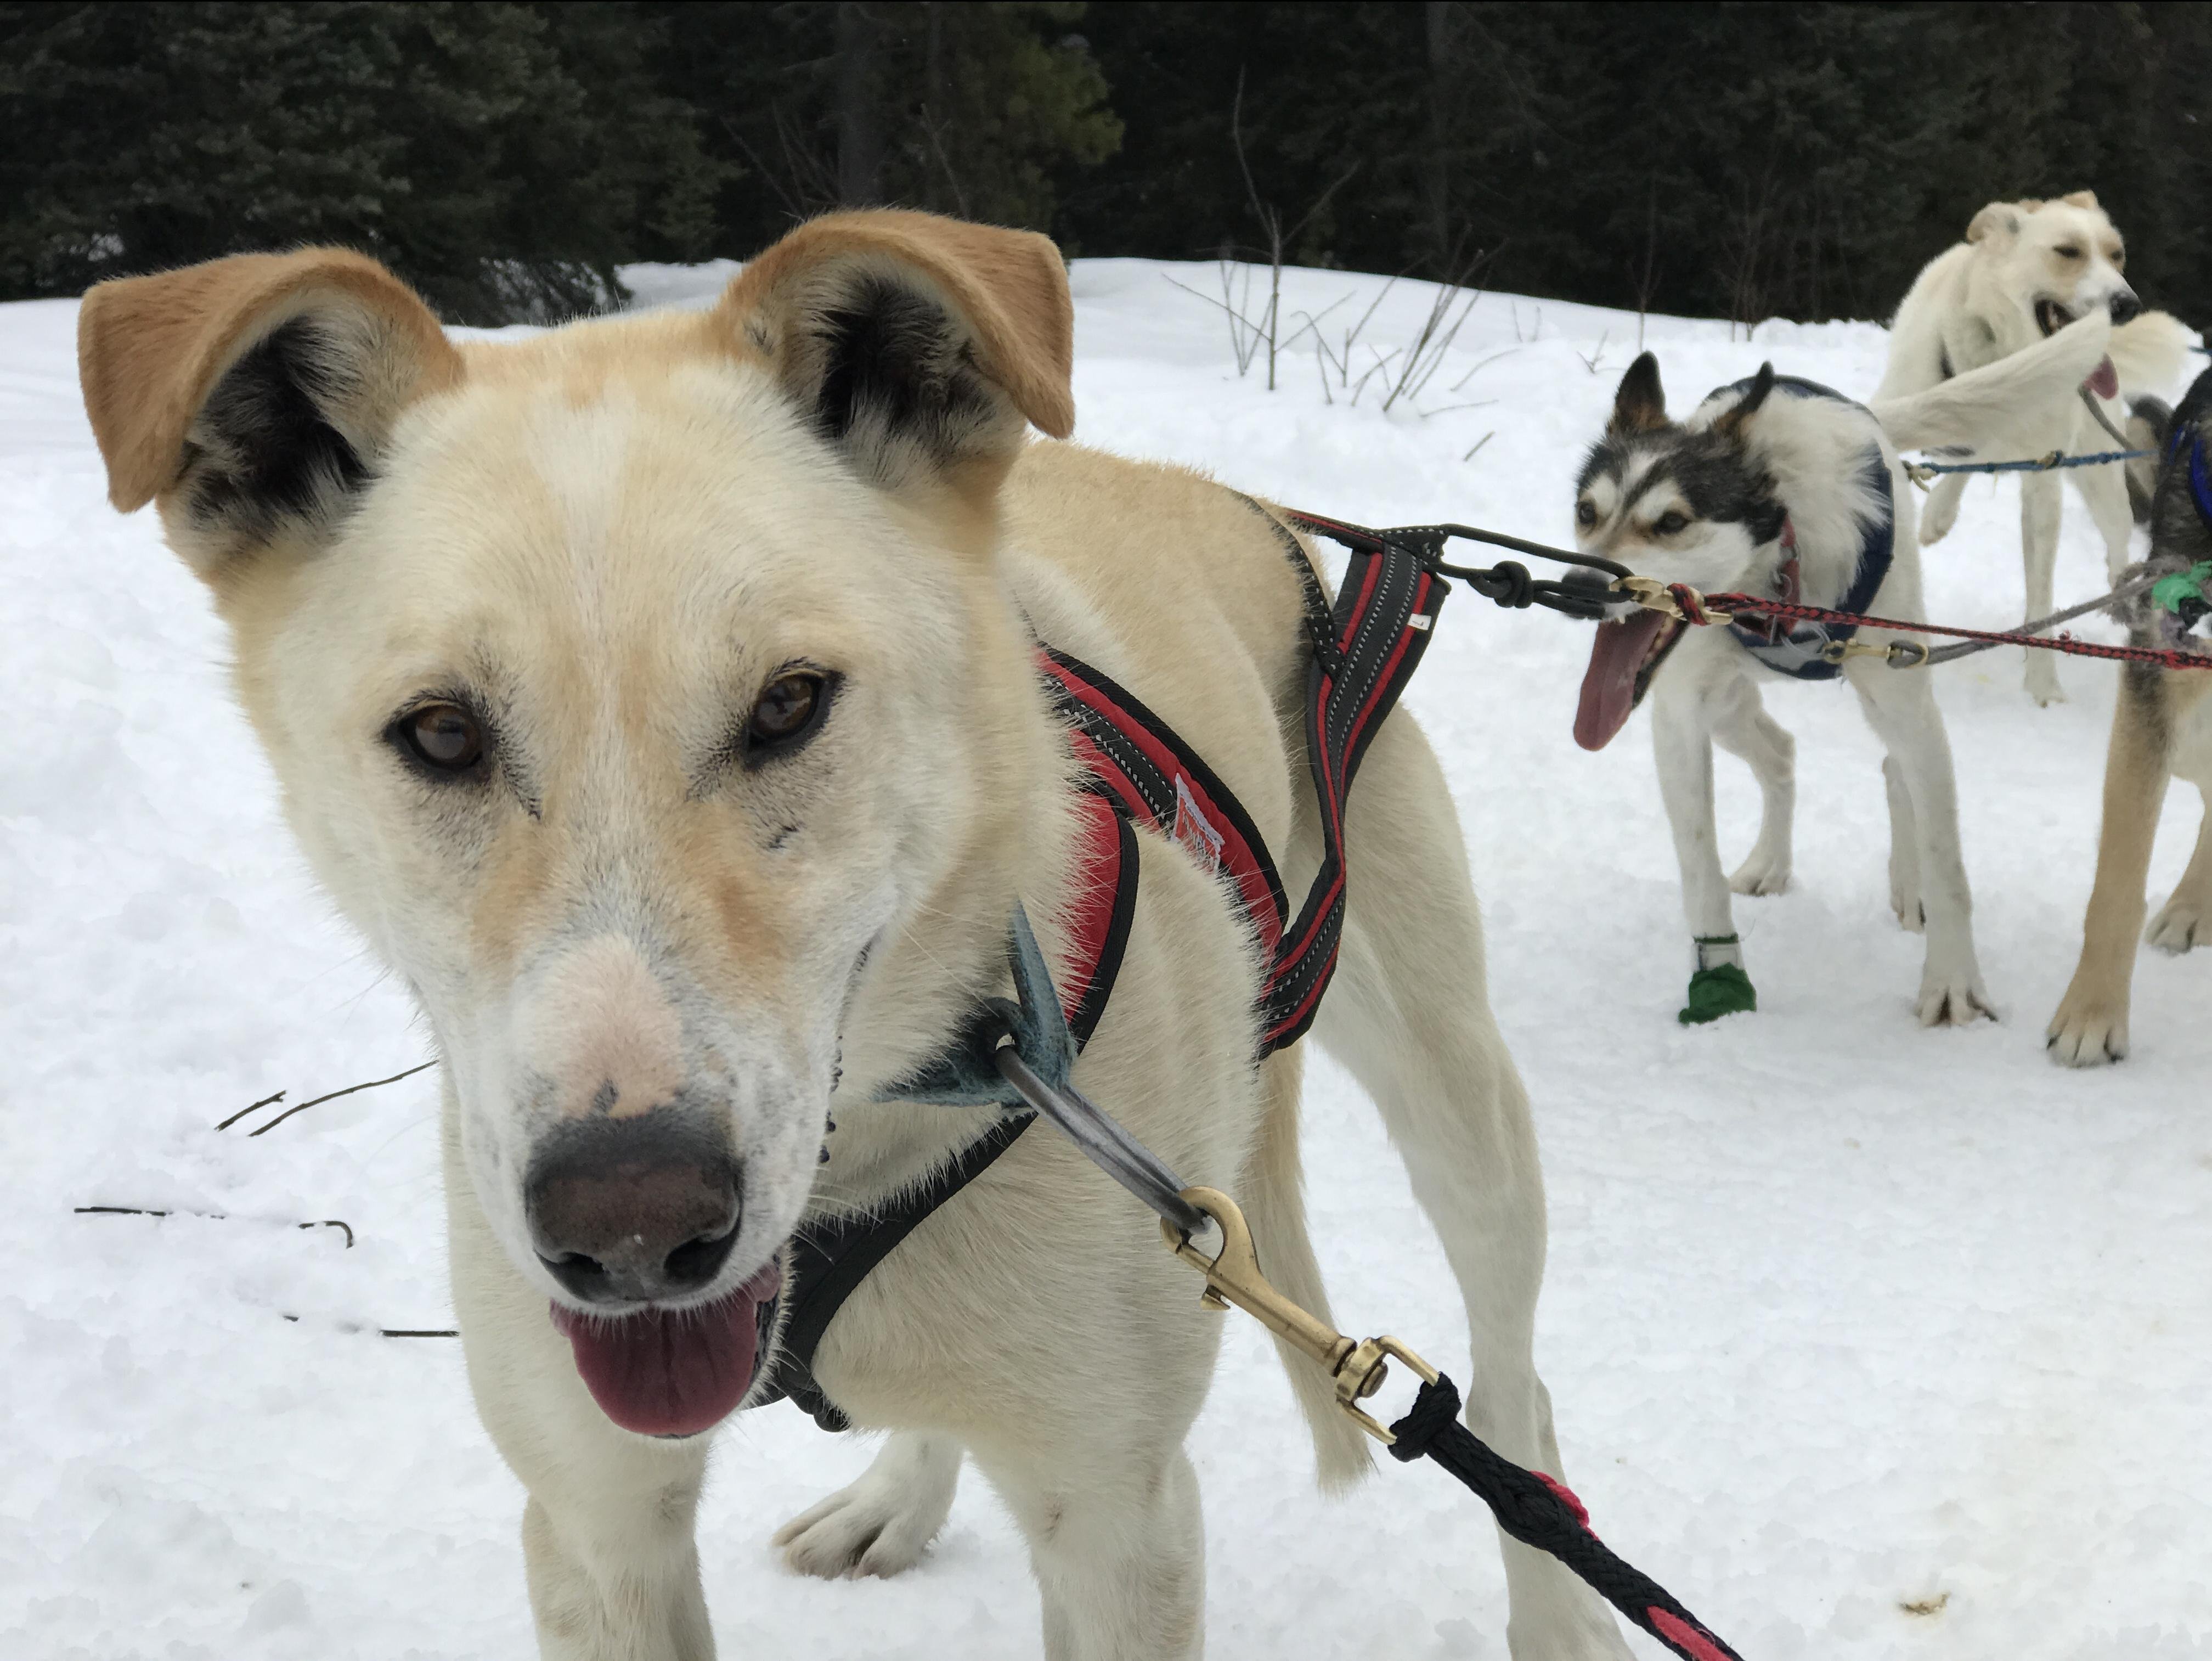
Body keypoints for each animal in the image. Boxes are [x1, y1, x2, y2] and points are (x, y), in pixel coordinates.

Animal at [78, 211, 1637, 1661]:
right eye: (443, 733)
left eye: (787, 702)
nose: (630, 1226)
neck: (851, 1174)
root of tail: (1223, 496)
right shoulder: (597, 1521)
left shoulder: (1118, 1517)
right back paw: (899, 1493)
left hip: (1454, 1095)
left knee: (1516, 1383)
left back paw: (1563, 1609)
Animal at [1566, 318, 2114, 1026]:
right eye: (1587, 511)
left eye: (1672, 521)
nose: (1577, 588)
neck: (1774, 584)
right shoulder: (1681, 719)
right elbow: (1699, 867)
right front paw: (1719, 977)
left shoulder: (1902, 690)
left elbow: (1949, 864)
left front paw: (1953, 982)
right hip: (1722, 706)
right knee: (1782, 753)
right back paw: (1771, 860)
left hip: (1899, 694)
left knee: (1898, 770)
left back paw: (1910, 887)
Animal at [1876, 191, 2203, 703]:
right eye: (2068, 252)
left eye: (2116, 255)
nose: (2126, 303)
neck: (2003, 358)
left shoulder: (2044, 484)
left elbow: (2041, 598)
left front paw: (2043, 682)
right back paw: (1939, 515)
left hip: (2103, 481)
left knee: (2116, 543)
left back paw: (2123, 595)